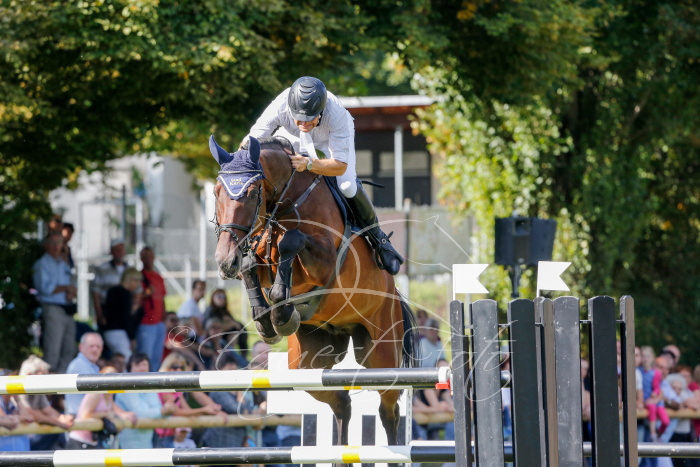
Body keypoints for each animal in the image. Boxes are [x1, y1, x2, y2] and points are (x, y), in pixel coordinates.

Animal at [209, 135, 416, 447]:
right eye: (216, 192)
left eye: (253, 192)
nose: (224, 261)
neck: (286, 204)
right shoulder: (256, 256)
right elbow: (249, 265)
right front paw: (267, 319)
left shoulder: (324, 262)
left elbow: (291, 241)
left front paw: (281, 311)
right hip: (308, 365)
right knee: (342, 403)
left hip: (382, 355)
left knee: (388, 409)